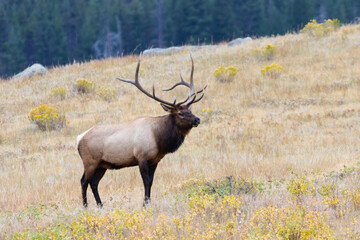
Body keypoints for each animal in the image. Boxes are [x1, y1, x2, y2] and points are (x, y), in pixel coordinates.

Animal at [76, 55, 205, 206]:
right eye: (180, 113)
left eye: (190, 110)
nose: (197, 119)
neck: (159, 139)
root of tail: (79, 139)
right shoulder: (141, 157)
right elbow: (146, 182)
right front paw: (145, 203)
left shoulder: (155, 160)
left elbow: (151, 182)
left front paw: (148, 202)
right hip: (90, 161)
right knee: (84, 181)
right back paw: (85, 206)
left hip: (102, 164)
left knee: (94, 183)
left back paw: (101, 206)